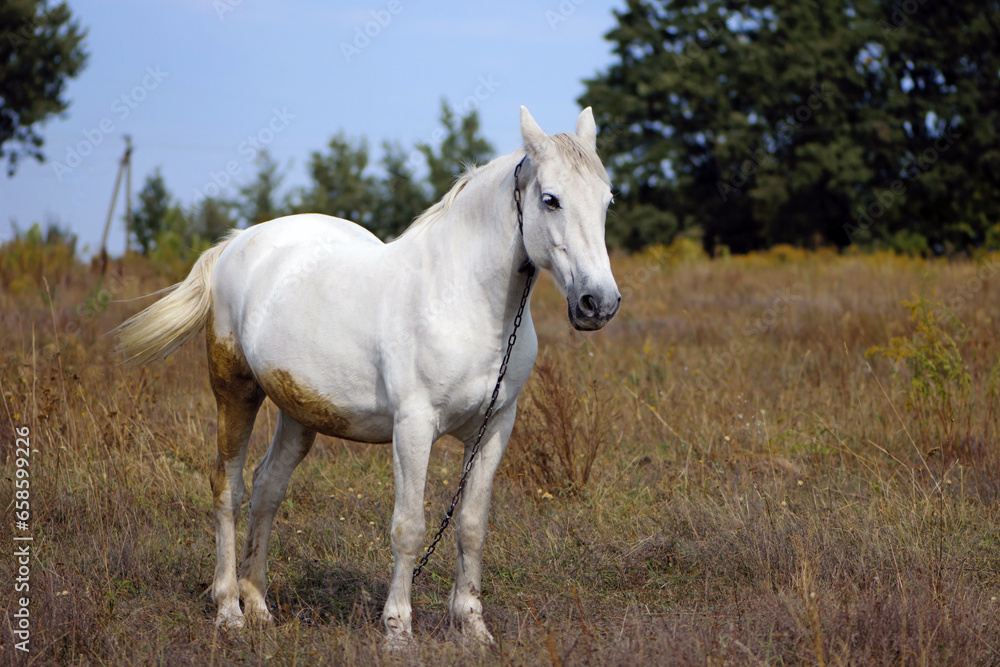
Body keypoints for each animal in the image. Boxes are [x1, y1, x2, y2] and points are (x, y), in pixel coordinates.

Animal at [115, 107, 616, 644]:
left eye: (607, 200)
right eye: (550, 199)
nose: (598, 303)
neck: (462, 297)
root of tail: (236, 244)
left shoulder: (495, 426)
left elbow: (471, 527)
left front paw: (472, 628)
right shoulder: (413, 426)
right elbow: (409, 527)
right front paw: (398, 628)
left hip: (299, 411)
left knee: (268, 489)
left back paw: (260, 606)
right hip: (235, 391)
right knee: (229, 487)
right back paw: (229, 608)